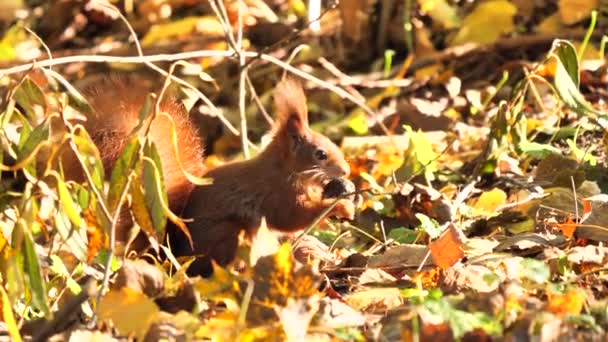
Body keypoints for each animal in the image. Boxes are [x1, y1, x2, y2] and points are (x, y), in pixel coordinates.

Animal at [75, 77, 356, 276]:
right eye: (320, 154)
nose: (346, 170)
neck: (284, 169)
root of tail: (176, 257)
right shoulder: (276, 194)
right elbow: (292, 217)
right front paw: (339, 206)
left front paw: (343, 190)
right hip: (230, 236)